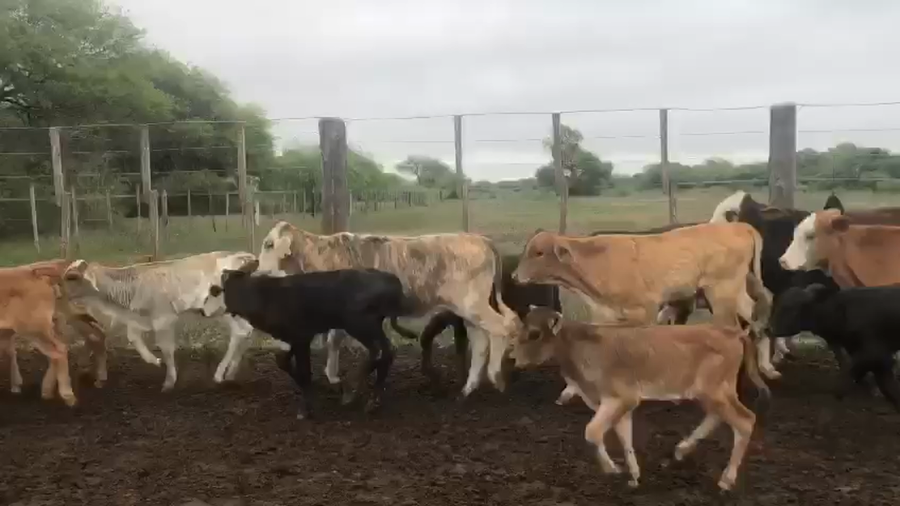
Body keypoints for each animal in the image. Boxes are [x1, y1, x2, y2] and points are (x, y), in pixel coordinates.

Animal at [61, 251, 258, 392]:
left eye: (71, 277)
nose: (59, 291)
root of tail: (245, 256)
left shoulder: (164, 318)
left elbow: (167, 349)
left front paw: (169, 382)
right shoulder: (139, 317)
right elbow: (133, 336)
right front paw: (154, 361)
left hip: (224, 310)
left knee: (241, 332)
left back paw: (220, 374)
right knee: (245, 332)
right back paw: (230, 372)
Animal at [201, 261, 414, 419]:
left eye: (213, 291)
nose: (203, 311)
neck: (266, 296)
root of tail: (390, 279)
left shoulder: (301, 337)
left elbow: (304, 371)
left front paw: (306, 409)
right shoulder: (295, 338)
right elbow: (283, 361)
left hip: (360, 325)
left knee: (380, 352)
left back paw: (352, 390)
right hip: (371, 327)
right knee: (387, 351)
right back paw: (372, 400)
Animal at [254, 221, 520, 398]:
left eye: (268, 244)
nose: (257, 272)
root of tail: (480, 239)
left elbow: (335, 340)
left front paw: (334, 376)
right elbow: (334, 341)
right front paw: (334, 376)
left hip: (473, 305)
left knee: (502, 328)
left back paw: (496, 378)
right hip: (469, 310)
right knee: (482, 341)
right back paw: (468, 388)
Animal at [509, 306, 770, 491]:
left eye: (534, 333)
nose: (513, 360)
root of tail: (732, 332)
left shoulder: (621, 398)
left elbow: (592, 432)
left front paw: (612, 469)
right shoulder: (620, 405)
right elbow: (625, 437)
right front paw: (633, 476)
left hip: (714, 391)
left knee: (745, 420)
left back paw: (726, 479)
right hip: (713, 393)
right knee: (717, 416)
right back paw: (681, 450)